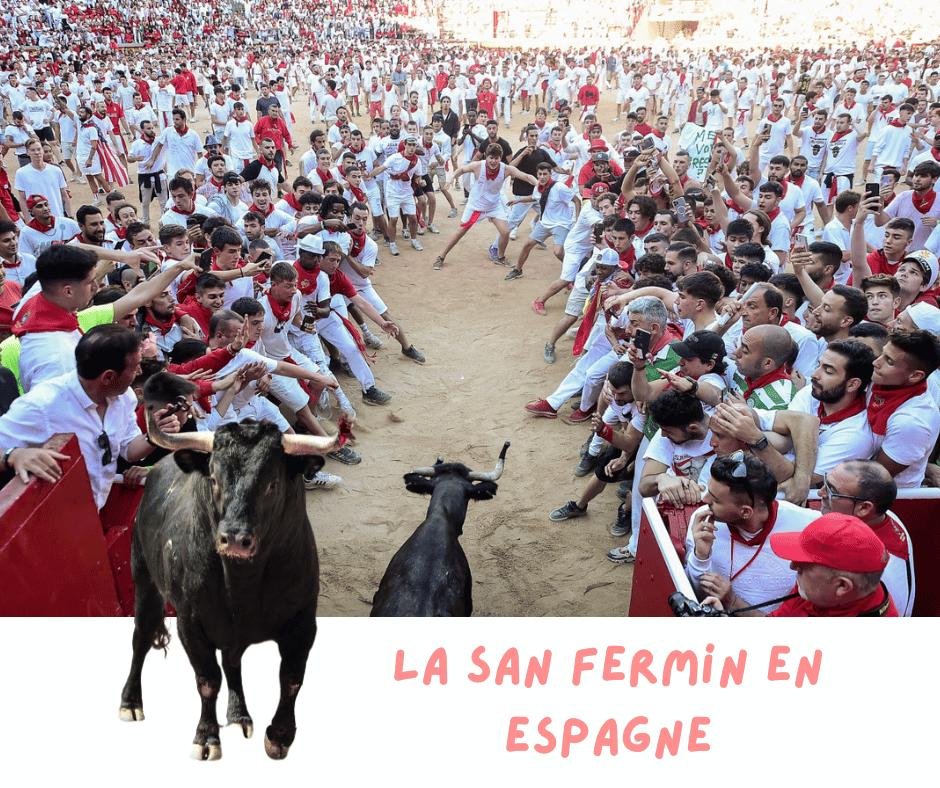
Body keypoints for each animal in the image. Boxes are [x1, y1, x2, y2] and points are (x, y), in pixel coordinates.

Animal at [117, 416, 352, 760]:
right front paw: (206, 738)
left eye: (272, 484)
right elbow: (207, 679)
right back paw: (130, 702)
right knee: (141, 637)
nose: (235, 539)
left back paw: (239, 716)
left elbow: (291, 678)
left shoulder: (303, 620)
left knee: (231, 659)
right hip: (144, 579)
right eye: (214, 480)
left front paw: (280, 736)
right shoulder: (189, 622)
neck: (243, 584)